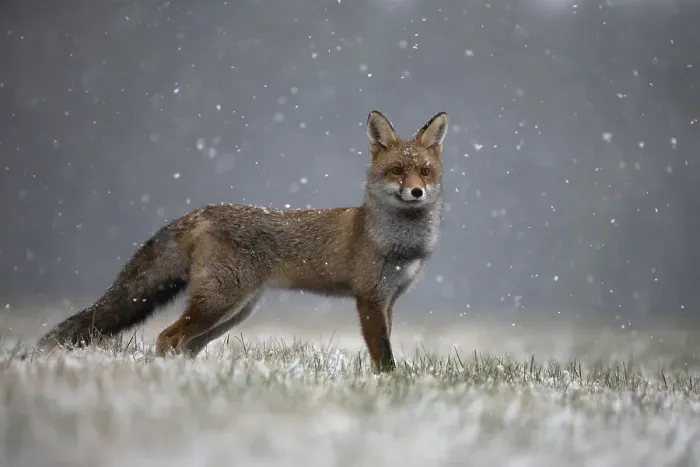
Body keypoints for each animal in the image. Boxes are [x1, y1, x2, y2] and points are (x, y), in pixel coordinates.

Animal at [37, 110, 448, 373]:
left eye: (424, 172)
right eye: (397, 171)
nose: (416, 191)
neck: (396, 241)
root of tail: (202, 211)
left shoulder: (388, 301)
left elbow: (386, 348)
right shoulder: (369, 298)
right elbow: (384, 357)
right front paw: (391, 388)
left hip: (235, 311)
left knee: (185, 346)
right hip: (220, 302)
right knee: (168, 337)